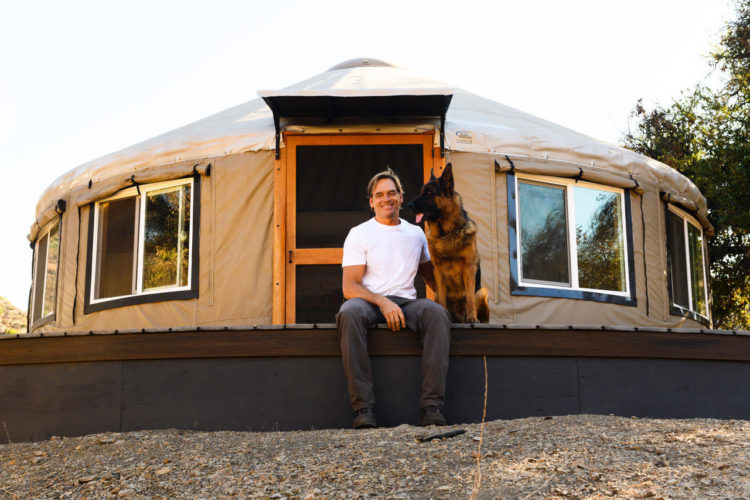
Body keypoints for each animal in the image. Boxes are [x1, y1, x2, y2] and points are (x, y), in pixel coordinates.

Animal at [408, 162, 490, 322]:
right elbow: (442, 298)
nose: (408, 205)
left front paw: (472, 318)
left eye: (429, 192)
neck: (446, 233)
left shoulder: (469, 267)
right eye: (422, 191)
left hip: (482, 292)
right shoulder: (438, 270)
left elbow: (470, 297)